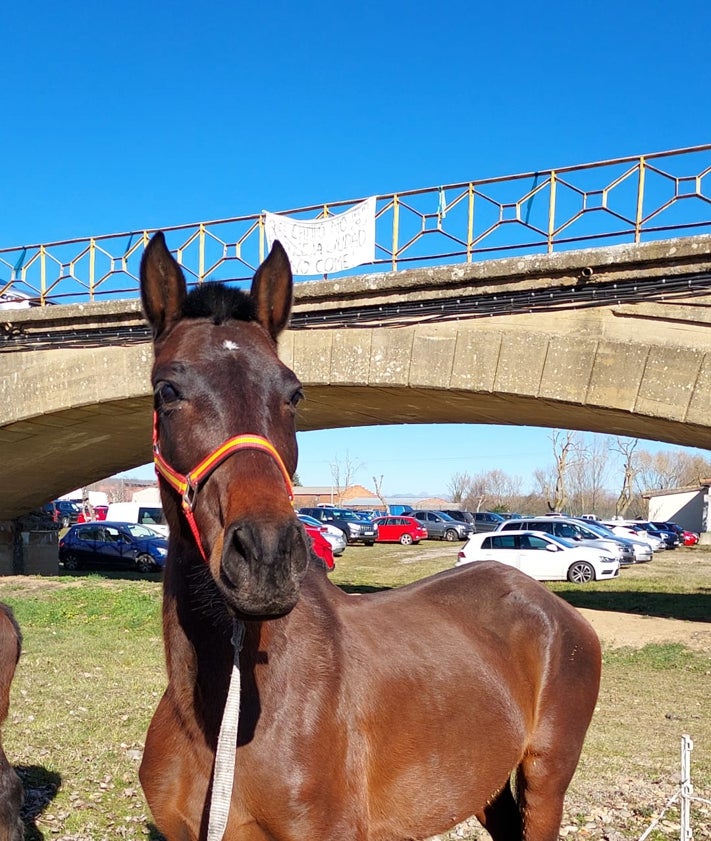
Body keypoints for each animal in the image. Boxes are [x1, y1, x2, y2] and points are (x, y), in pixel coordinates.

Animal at [138, 231, 600, 840]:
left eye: (294, 394)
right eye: (166, 390)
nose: (266, 557)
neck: (221, 728)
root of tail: (555, 610)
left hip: (545, 783)